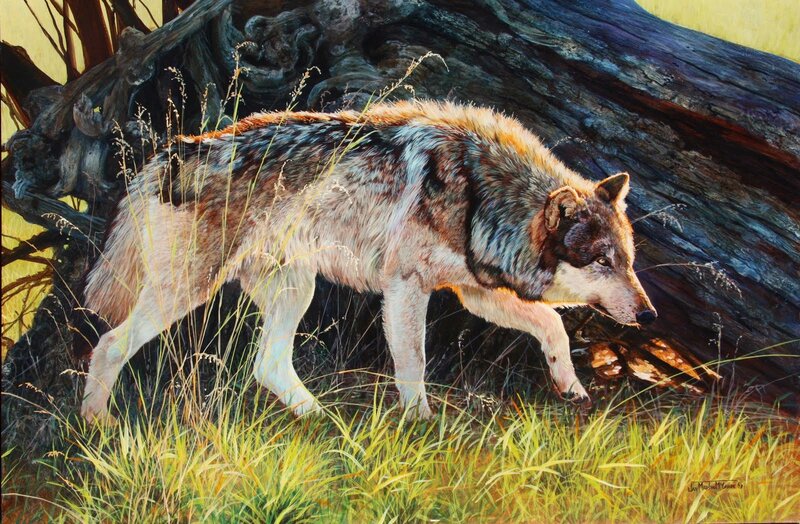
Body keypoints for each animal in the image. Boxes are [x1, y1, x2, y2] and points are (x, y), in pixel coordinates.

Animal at [80, 100, 656, 422]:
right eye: (602, 261)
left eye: (628, 260)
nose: (650, 314)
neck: (480, 192)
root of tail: (174, 152)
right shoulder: (406, 287)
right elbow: (414, 364)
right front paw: (421, 425)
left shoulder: (474, 292)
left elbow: (550, 326)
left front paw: (571, 386)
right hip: (188, 292)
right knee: (108, 345)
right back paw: (97, 426)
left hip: (296, 290)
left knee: (268, 364)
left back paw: (323, 422)